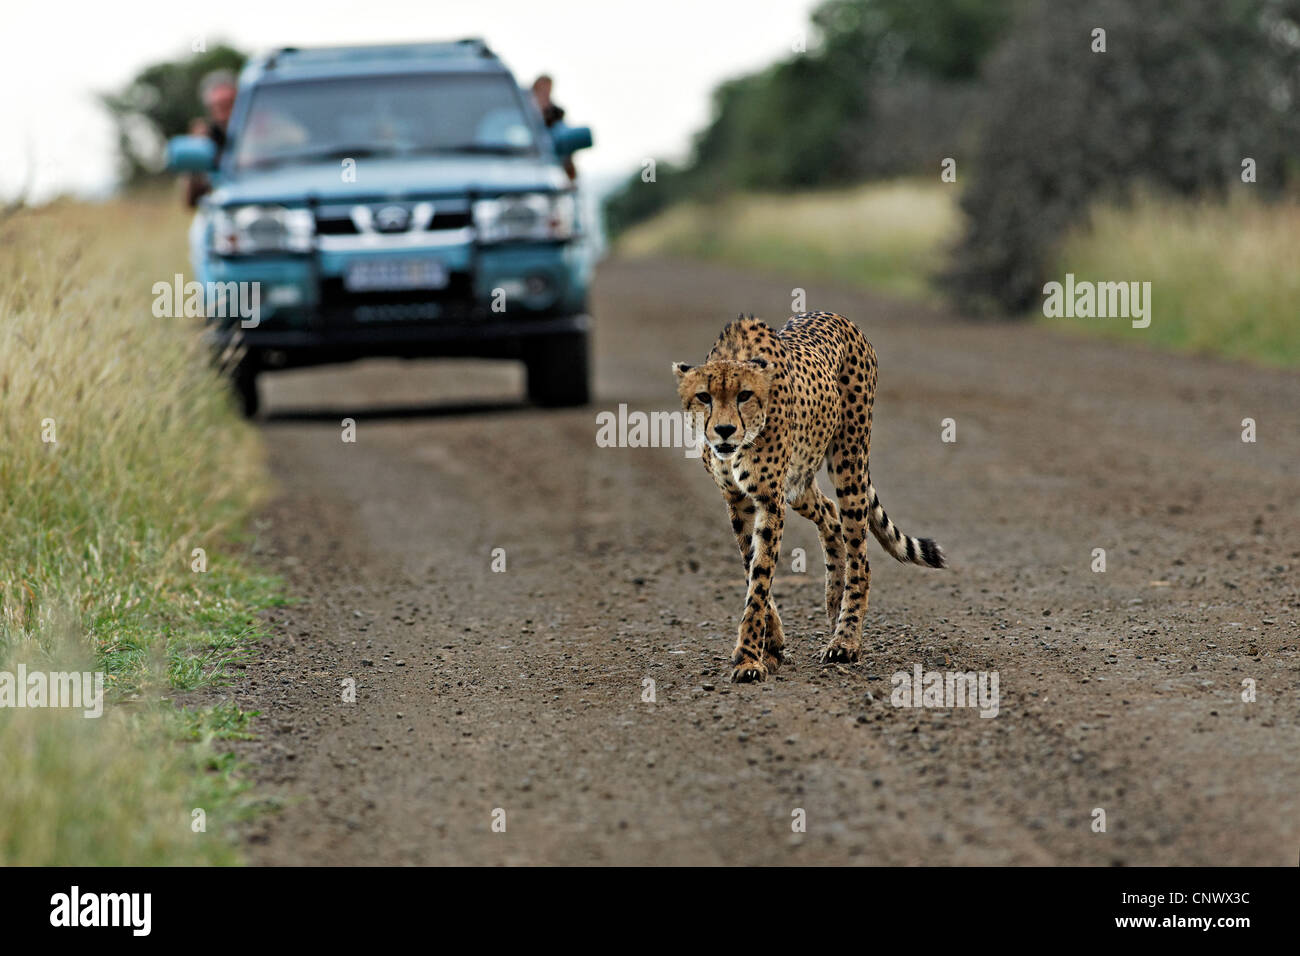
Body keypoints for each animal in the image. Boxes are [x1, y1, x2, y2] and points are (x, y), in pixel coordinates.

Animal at [670, 312, 946, 681]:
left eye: (744, 395)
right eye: (704, 397)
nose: (725, 430)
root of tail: (840, 318)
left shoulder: (769, 500)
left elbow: (760, 578)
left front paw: (748, 658)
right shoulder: (738, 501)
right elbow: (751, 568)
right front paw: (771, 645)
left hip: (848, 464)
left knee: (859, 556)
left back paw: (845, 639)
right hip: (799, 484)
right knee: (828, 513)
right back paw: (833, 602)